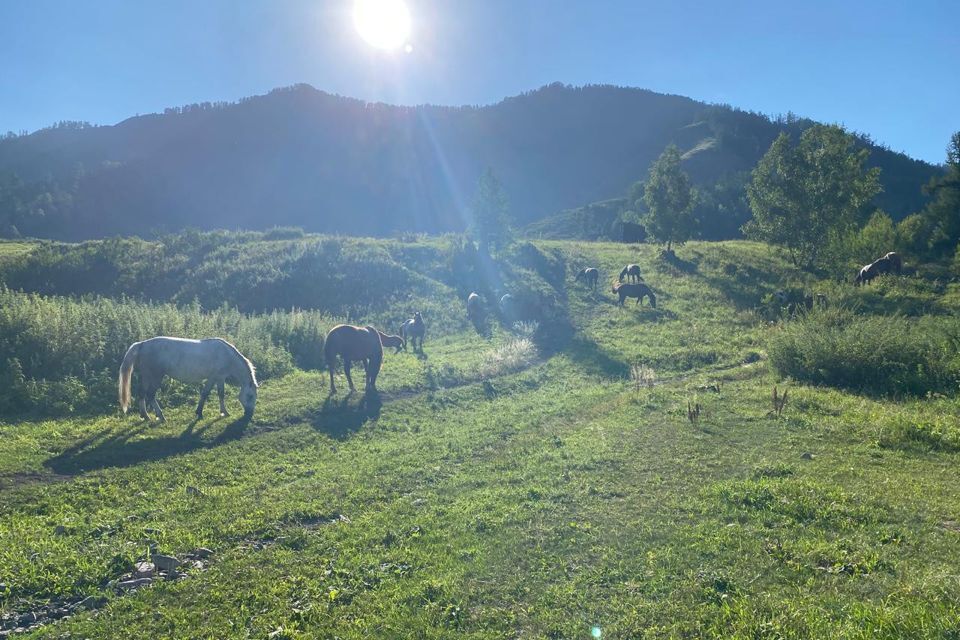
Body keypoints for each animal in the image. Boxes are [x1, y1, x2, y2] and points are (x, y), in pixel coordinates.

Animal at [116, 338, 258, 422]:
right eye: (250, 396)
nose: (249, 413)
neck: (226, 355)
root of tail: (142, 344)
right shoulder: (215, 377)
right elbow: (209, 394)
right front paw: (204, 413)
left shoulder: (218, 378)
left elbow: (216, 394)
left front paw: (218, 412)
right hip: (156, 377)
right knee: (150, 395)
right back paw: (160, 416)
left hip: (147, 376)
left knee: (142, 394)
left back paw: (145, 416)